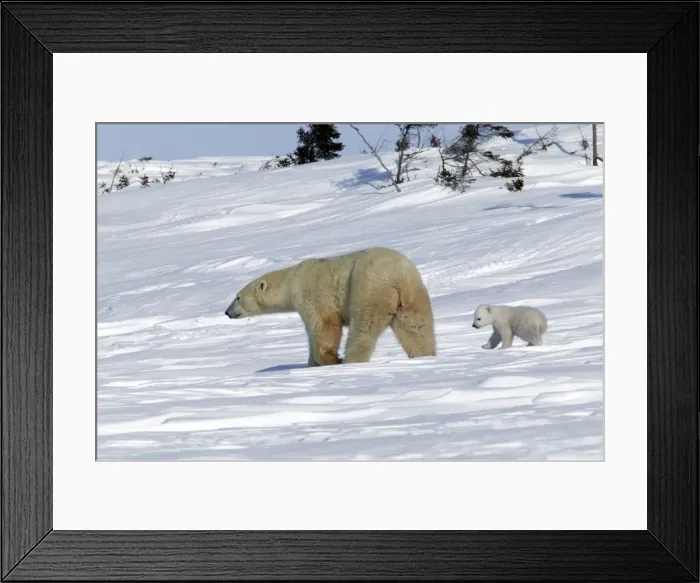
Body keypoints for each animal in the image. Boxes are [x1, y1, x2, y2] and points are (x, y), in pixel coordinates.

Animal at [224, 247, 436, 366]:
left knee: (363, 329)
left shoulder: (312, 293)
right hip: (413, 296)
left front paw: (332, 359)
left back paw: (351, 360)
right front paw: (311, 364)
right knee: (417, 329)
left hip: (368, 288)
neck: (292, 280)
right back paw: (425, 356)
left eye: (237, 297)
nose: (227, 312)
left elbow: (324, 325)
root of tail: (398, 275)